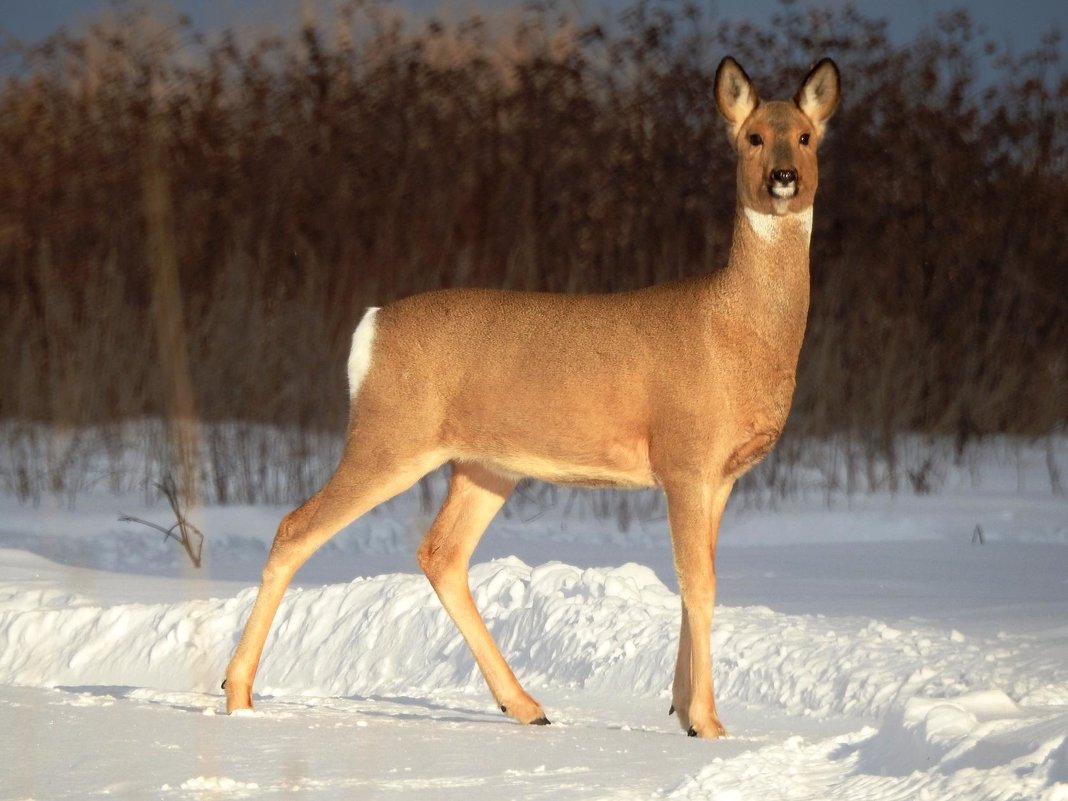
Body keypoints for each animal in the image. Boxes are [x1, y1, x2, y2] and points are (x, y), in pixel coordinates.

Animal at [223, 57, 841, 739]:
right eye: (752, 137)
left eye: (806, 137)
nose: (784, 177)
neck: (737, 330)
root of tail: (370, 328)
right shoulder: (684, 457)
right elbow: (698, 583)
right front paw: (707, 722)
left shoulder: (723, 473)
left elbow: (695, 580)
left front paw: (683, 710)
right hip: (390, 436)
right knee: (296, 527)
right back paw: (236, 694)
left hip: (483, 464)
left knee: (440, 552)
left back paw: (525, 705)